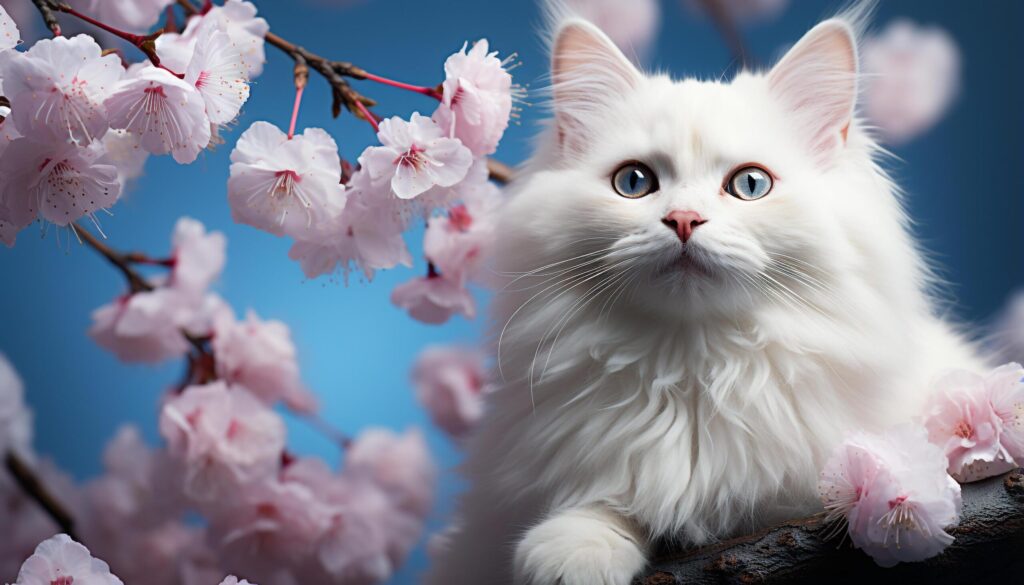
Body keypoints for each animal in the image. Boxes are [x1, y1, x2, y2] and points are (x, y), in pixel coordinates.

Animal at [425, 5, 983, 585]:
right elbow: (605, 500)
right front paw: (573, 551)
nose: (684, 219)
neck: (696, 370)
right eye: (634, 182)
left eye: (751, 185)